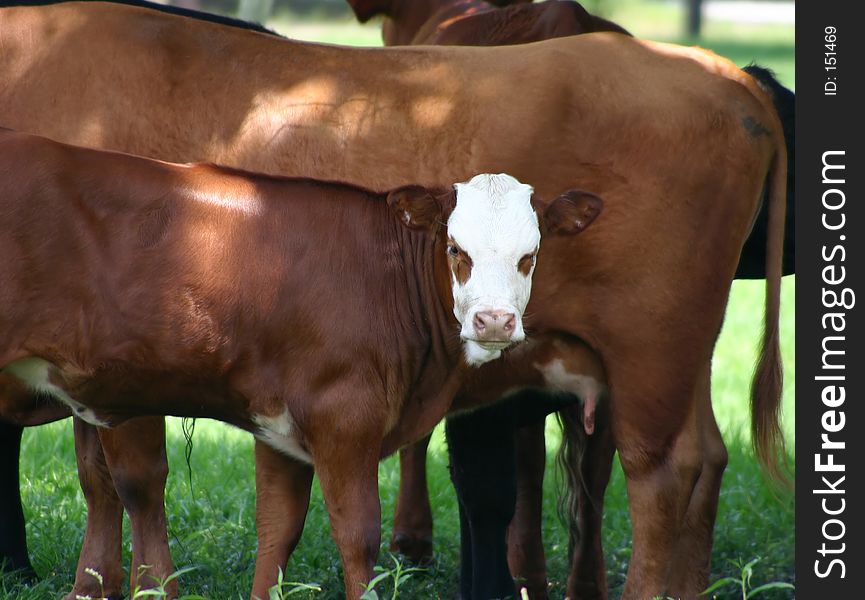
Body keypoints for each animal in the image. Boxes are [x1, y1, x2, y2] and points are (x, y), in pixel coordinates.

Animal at [0, 126, 596, 596]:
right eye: (455, 249)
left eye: (530, 255)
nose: (494, 321)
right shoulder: (344, 418)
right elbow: (357, 537)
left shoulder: (279, 425)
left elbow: (277, 530)